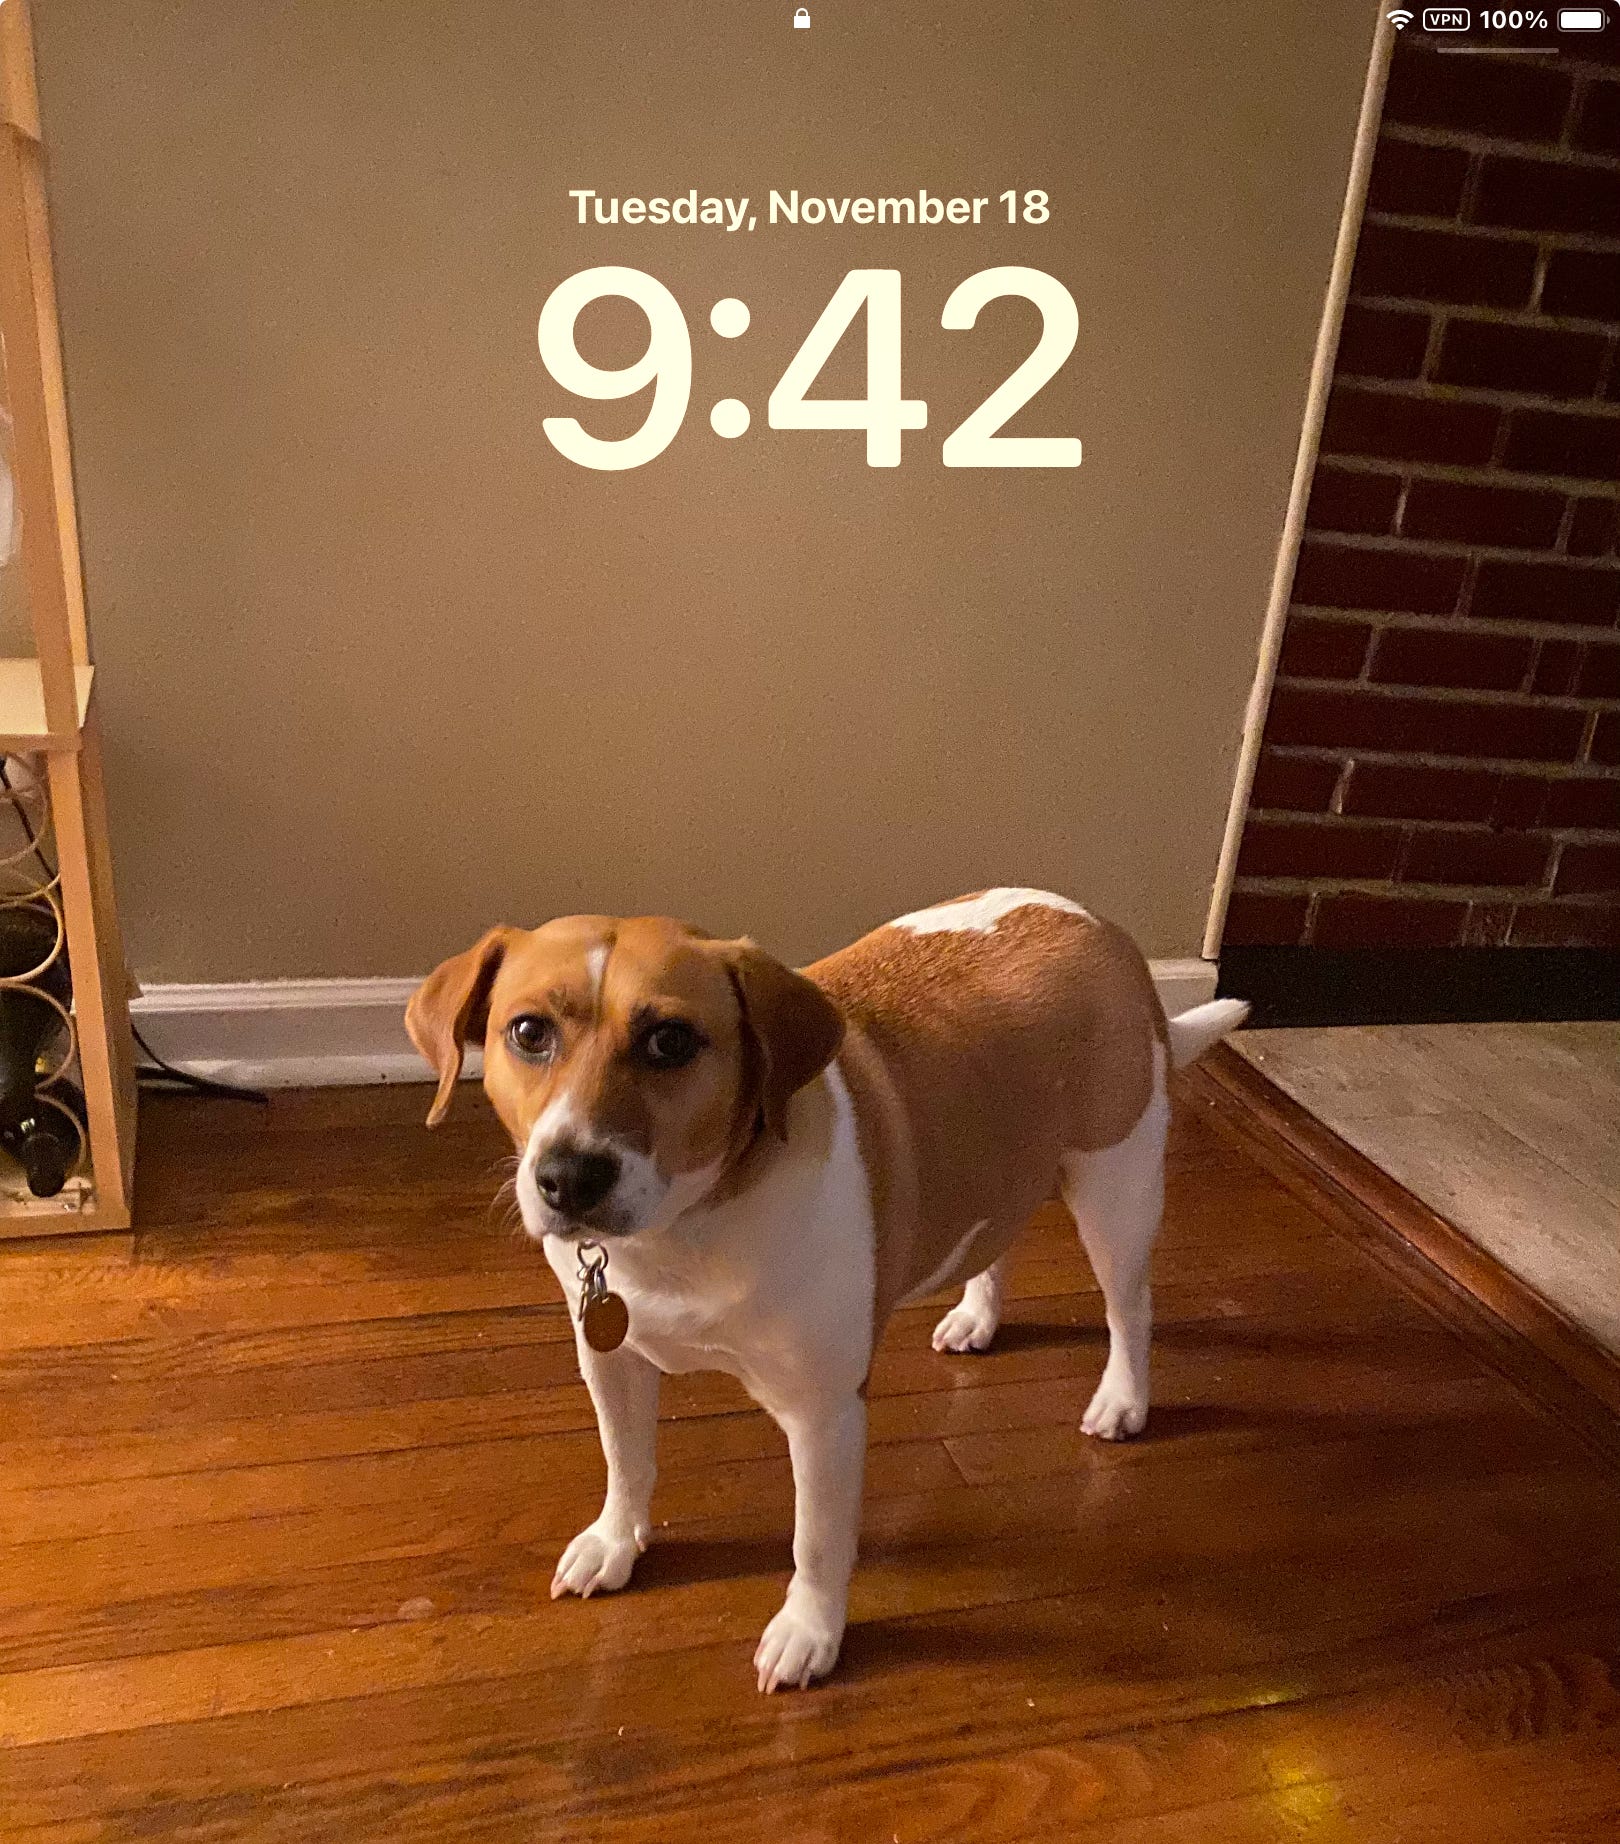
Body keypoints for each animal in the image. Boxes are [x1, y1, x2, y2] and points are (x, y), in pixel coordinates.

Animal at [406, 887, 1248, 1691]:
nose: (570, 1177)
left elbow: (815, 1540)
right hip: (1001, 1168)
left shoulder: (823, 1415)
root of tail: (1099, 926)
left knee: (1130, 1309)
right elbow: (627, 1461)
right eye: (528, 1033)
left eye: (670, 1041)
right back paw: (976, 1317)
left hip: (1116, 1192)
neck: (683, 1231)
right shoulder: (610, 1358)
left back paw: (1122, 1399)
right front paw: (616, 1541)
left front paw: (809, 1633)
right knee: (997, 1245)